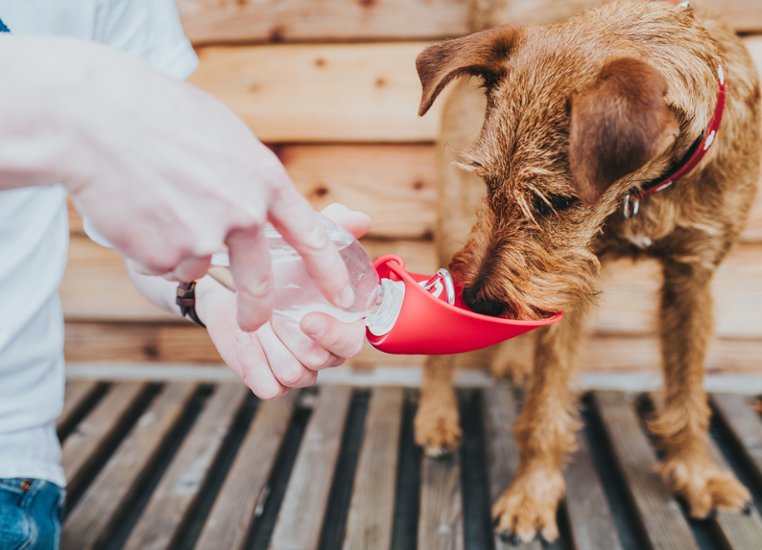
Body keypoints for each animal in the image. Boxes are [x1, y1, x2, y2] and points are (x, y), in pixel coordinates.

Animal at [412, 0, 756, 544]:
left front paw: (698, 472)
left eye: (557, 201)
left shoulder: (691, 278)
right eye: (489, 183)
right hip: (453, 224)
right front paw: (532, 495)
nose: (481, 300)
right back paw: (436, 414)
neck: (648, 191)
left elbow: (687, 394)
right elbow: (546, 409)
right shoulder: (564, 280)